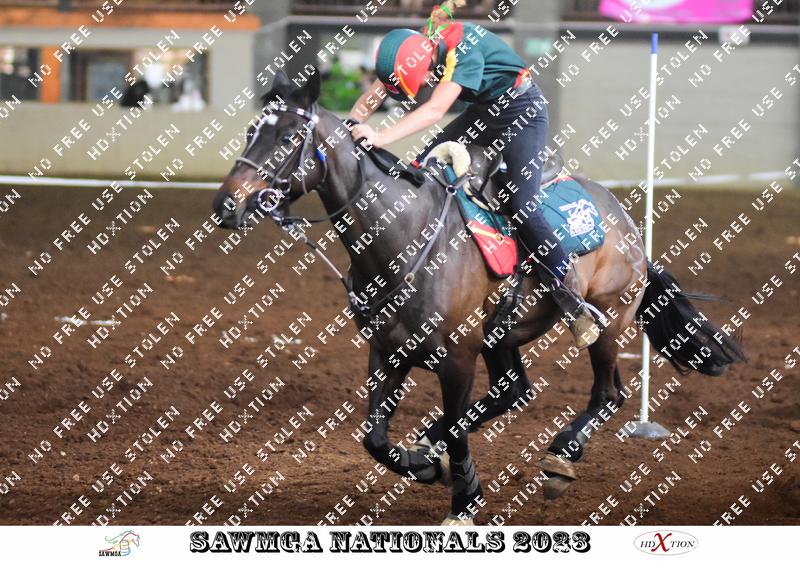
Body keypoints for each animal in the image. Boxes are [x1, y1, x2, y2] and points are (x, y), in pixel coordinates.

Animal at [212, 69, 745, 524]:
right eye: (249, 132)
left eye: (286, 139)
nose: (226, 205)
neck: (405, 238)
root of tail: (627, 225)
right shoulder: (387, 350)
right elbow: (375, 438)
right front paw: (425, 464)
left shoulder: (456, 358)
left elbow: (452, 425)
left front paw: (463, 501)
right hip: (502, 334)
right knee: (513, 390)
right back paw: (430, 445)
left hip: (609, 321)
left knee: (606, 393)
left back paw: (559, 459)